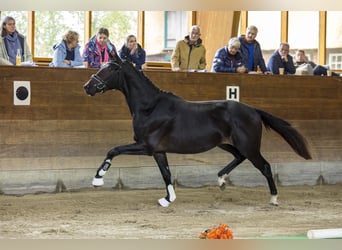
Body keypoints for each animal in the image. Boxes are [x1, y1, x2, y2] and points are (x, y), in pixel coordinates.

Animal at [83, 58, 310, 207]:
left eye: (108, 69)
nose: (87, 87)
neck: (150, 107)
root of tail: (254, 110)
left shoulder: (146, 146)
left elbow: (113, 150)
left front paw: (97, 179)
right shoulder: (158, 151)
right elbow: (166, 173)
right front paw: (168, 199)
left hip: (249, 146)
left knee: (265, 166)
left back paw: (273, 199)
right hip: (226, 143)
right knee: (239, 157)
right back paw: (221, 180)